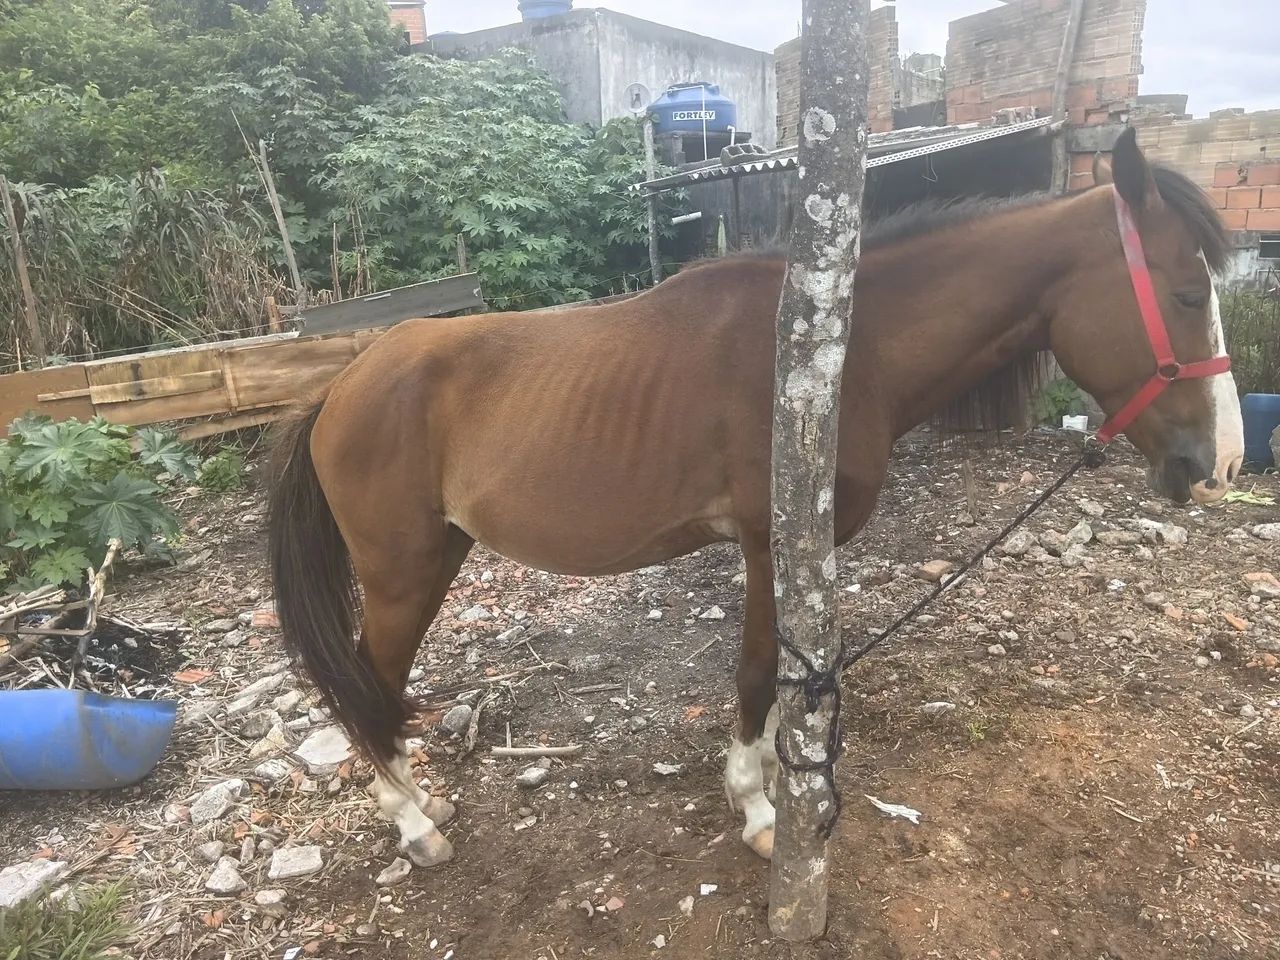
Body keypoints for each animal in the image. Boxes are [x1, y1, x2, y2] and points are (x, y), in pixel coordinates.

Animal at [268, 129, 1243, 870]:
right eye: (1187, 291)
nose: (1222, 463)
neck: (832, 357)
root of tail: (343, 383)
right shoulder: (773, 544)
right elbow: (755, 674)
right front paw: (761, 811)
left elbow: (780, 678)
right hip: (401, 573)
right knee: (368, 684)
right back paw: (415, 824)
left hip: (440, 555)